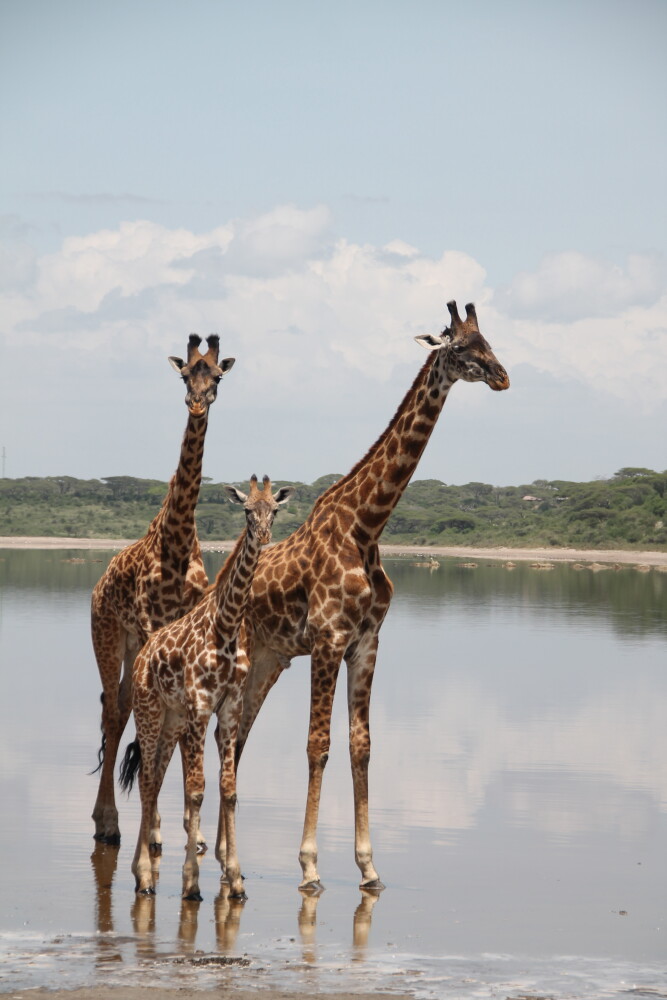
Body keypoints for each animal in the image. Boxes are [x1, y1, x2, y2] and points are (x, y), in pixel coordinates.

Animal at [91, 334, 235, 845]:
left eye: (217, 376)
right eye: (184, 374)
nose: (197, 404)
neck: (176, 540)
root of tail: (99, 583)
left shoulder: (175, 630)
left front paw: (163, 829)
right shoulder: (150, 623)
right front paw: (149, 828)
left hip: (135, 645)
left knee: (121, 706)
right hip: (109, 635)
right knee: (114, 712)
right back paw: (107, 822)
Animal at [119, 476, 295, 900]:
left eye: (274, 510)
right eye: (247, 510)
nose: (264, 537)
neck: (227, 626)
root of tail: (141, 658)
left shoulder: (229, 706)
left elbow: (228, 788)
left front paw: (236, 880)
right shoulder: (200, 706)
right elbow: (196, 789)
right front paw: (191, 883)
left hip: (171, 720)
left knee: (154, 779)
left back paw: (142, 872)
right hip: (149, 712)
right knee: (146, 781)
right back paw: (143, 875)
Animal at [223, 300, 509, 891]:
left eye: (490, 341)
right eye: (461, 348)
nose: (502, 377)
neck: (367, 526)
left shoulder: (367, 642)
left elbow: (362, 746)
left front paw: (369, 865)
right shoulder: (328, 638)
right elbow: (318, 745)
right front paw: (309, 865)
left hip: (267, 661)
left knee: (236, 743)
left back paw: (219, 859)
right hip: (240, 661)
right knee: (221, 741)